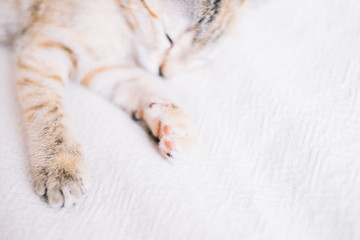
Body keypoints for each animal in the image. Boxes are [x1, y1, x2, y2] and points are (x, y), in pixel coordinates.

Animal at [0, 0, 242, 207]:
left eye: (198, 60)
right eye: (168, 37)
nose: (165, 74)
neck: (124, 20)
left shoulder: (99, 66)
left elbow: (140, 81)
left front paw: (175, 125)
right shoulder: (44, 47)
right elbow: (49, 111)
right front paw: (60, 166)